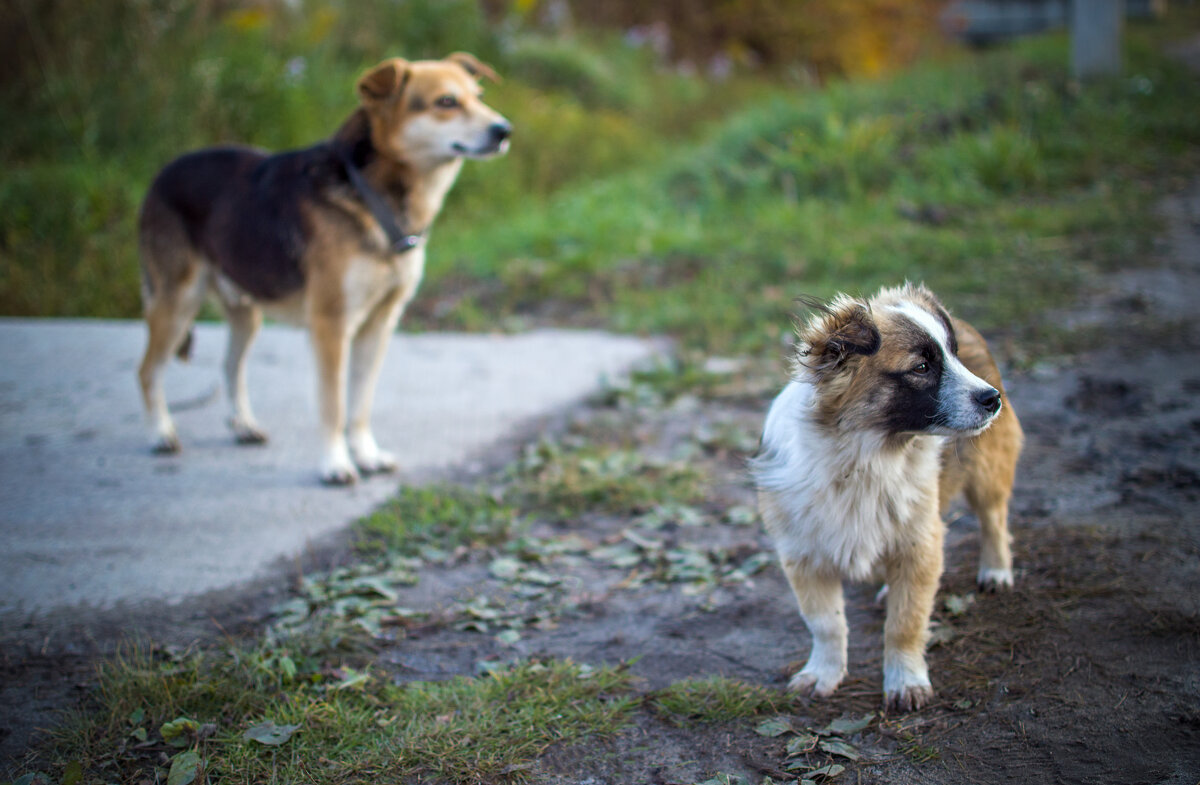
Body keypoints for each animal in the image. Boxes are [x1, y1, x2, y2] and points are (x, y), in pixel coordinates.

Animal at [137, 52, 511, 484]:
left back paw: (244, 426)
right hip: (178, 301)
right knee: (147, 370)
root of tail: (160, 174)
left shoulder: (379, 325)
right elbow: (334, 405)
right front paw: (335, 463)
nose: (504, 130)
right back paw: (161, 433)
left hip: (246, 313)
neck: (369, 196)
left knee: (231, 367)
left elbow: (360, 404)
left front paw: (366, 454)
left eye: (479, 97)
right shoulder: (330, 325)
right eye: (446, 102)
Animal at [748, 283, 1022, 715]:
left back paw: (996, 570)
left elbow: (905, 624)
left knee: (994, 518)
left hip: (987, 469)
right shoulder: (803, 553)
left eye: (954, 356)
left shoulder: (920, 542)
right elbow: (826, 623)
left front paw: (906, 680)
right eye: (921, 368)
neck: (866, 460)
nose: (992, 398)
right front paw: (823, 673)